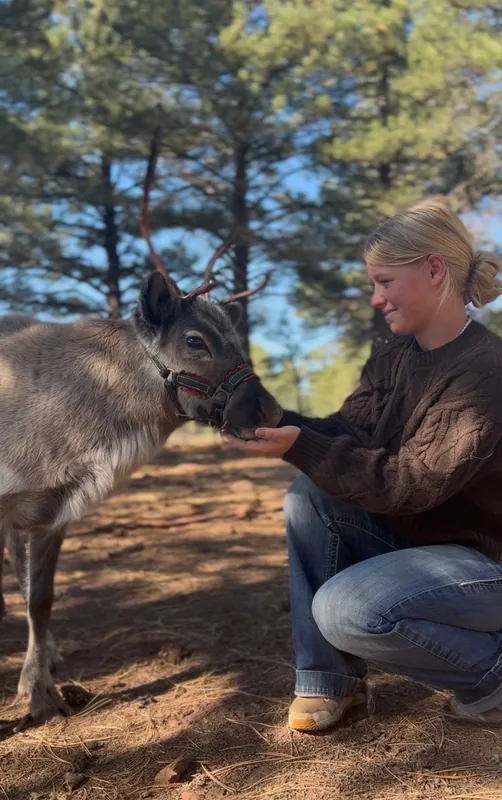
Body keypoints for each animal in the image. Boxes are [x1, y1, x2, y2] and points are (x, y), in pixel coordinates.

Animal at [0, 129, 282, 727]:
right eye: (195, 340)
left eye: (236, 337)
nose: (269, 413)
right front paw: (33, 692)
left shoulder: (53, 511)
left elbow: (41, 598)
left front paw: (41, 691)